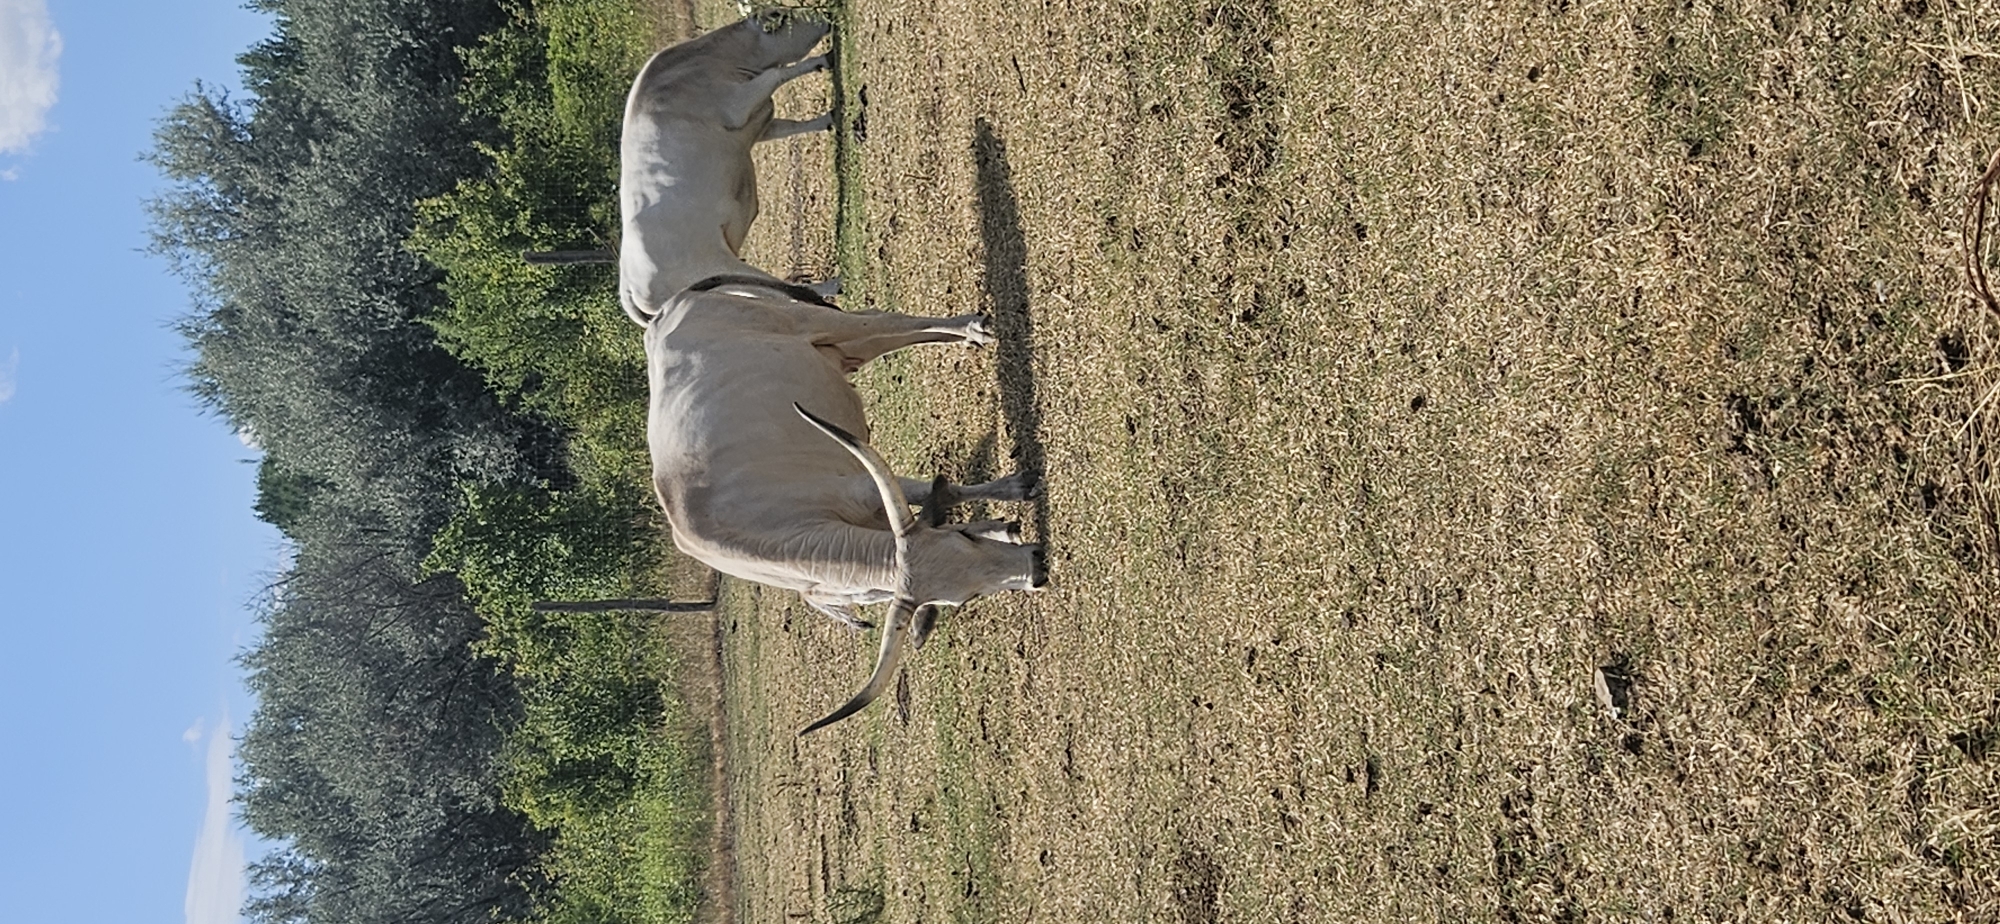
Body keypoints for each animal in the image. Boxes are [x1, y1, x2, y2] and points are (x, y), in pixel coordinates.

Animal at [619, 8, 839, 329]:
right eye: (782, 15)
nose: (825, 18)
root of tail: (628, 285)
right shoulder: (737, 105)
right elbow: (777, 73)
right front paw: (823, 59)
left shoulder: (761, 122)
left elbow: (791, 126)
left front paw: (830, 118)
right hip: (714, 262)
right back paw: (836, 283)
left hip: (724, 281)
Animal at [647, 280, 1045, 732]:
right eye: (965, 599)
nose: (1037, 566)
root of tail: (671, 307)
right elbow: (937, 504)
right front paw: (1002, 525)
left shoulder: (864, 488)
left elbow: (935, 492)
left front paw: (1017, 488)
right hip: (839, 349)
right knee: (890, 332)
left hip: (817, 323)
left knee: (888, 321)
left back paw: (974, 329)